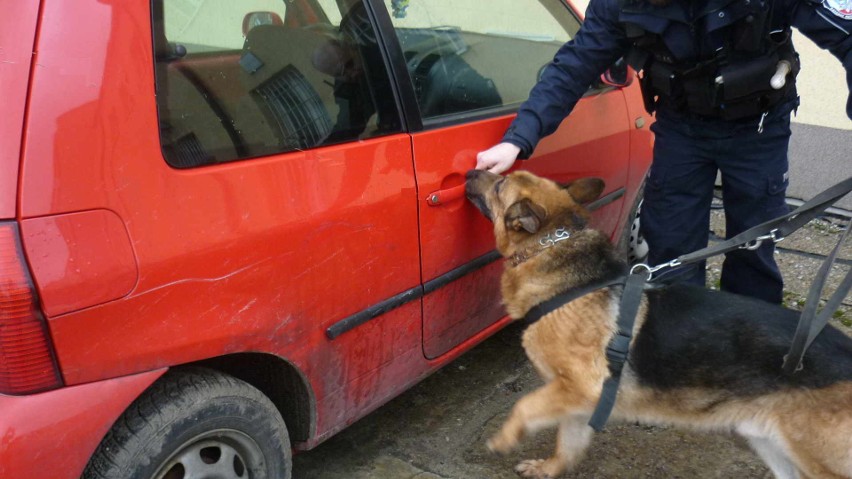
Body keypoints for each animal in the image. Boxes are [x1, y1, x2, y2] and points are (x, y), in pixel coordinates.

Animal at [466, 170, 852, 479]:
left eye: (499, 184)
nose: (470, 171)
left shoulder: (583, 386)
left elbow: (525, 405)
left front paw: (505, 438)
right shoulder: (577, 398)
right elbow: (567, 443)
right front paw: (549, 469)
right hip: (772, 444)